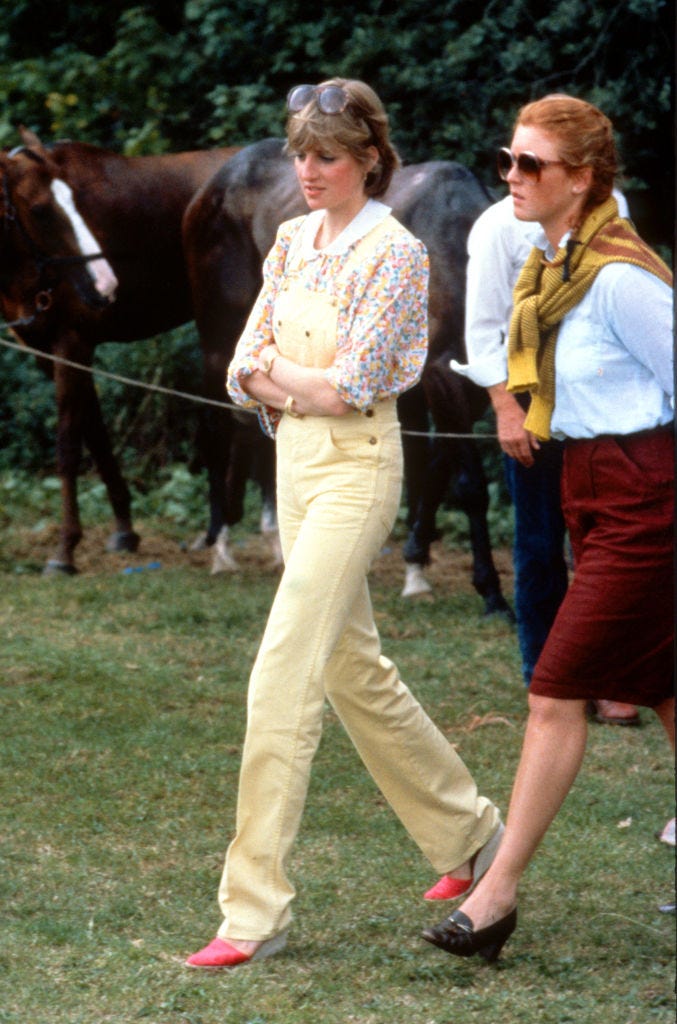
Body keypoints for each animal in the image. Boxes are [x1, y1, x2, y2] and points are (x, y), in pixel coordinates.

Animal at [0, 128, 237, 573]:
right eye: (40, 210)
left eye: (74, 203)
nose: (104, 284)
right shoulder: (53, 354)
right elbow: (96, 436)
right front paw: (124, 531)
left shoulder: (71, 347)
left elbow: (68, 447)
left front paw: (64, 551)